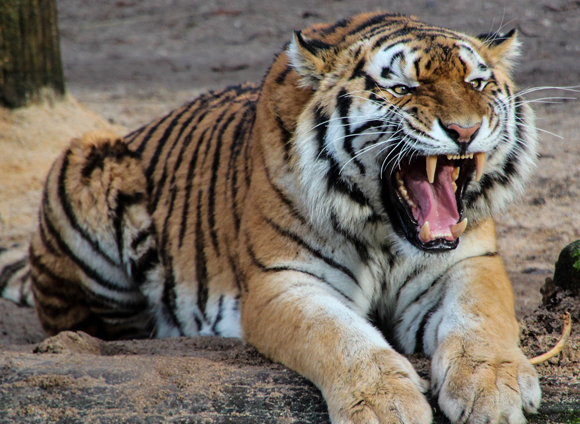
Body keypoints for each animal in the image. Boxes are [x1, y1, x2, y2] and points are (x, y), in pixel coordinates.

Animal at [1, 11, 544, 422]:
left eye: (476, 82)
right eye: (403, 88)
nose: (465, 130)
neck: (385, 232)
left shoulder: (469, 261)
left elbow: (481, 316)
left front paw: (493, 387)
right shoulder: (283, 281)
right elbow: (342, 338)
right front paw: (385, 404)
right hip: (88, 159)